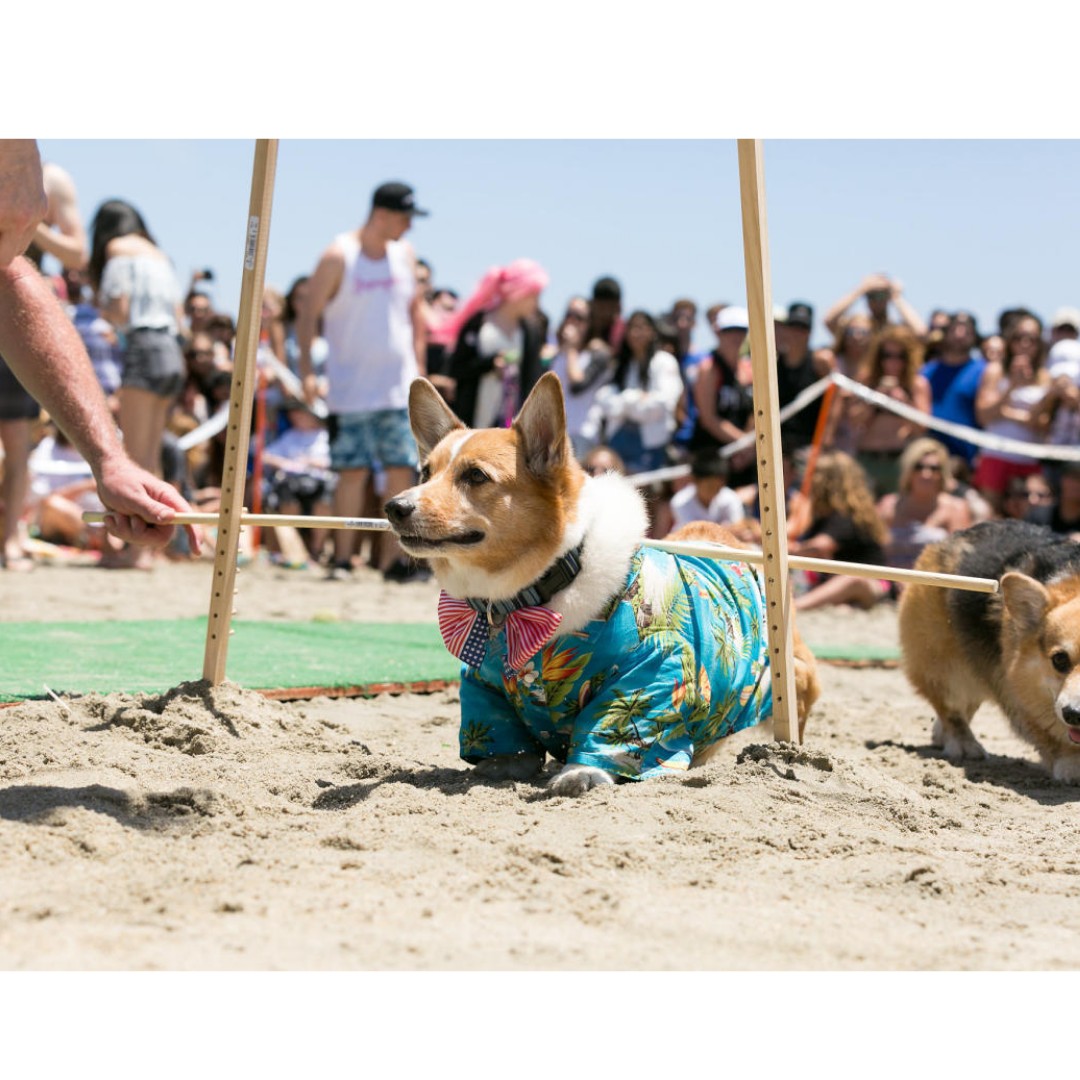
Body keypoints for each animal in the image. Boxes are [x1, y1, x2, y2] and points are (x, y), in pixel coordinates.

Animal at [384, 375, 812, 799]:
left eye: (475, 476)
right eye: (425, 473)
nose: (393, 507)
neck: (527, 599)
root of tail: (719, 537)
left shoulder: (649, 676)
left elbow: (611, 730)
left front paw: (582, 773)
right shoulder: (484, 687)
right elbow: (503, 736)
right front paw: (499, 767)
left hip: (788, 675)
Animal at [898, 518, 1080, 781]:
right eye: (1060, 660)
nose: (1073, 714)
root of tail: (945, 540)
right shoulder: (1025, 692)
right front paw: (1071, 765)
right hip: (947, 668)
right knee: (951, 709)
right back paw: (964, 745)